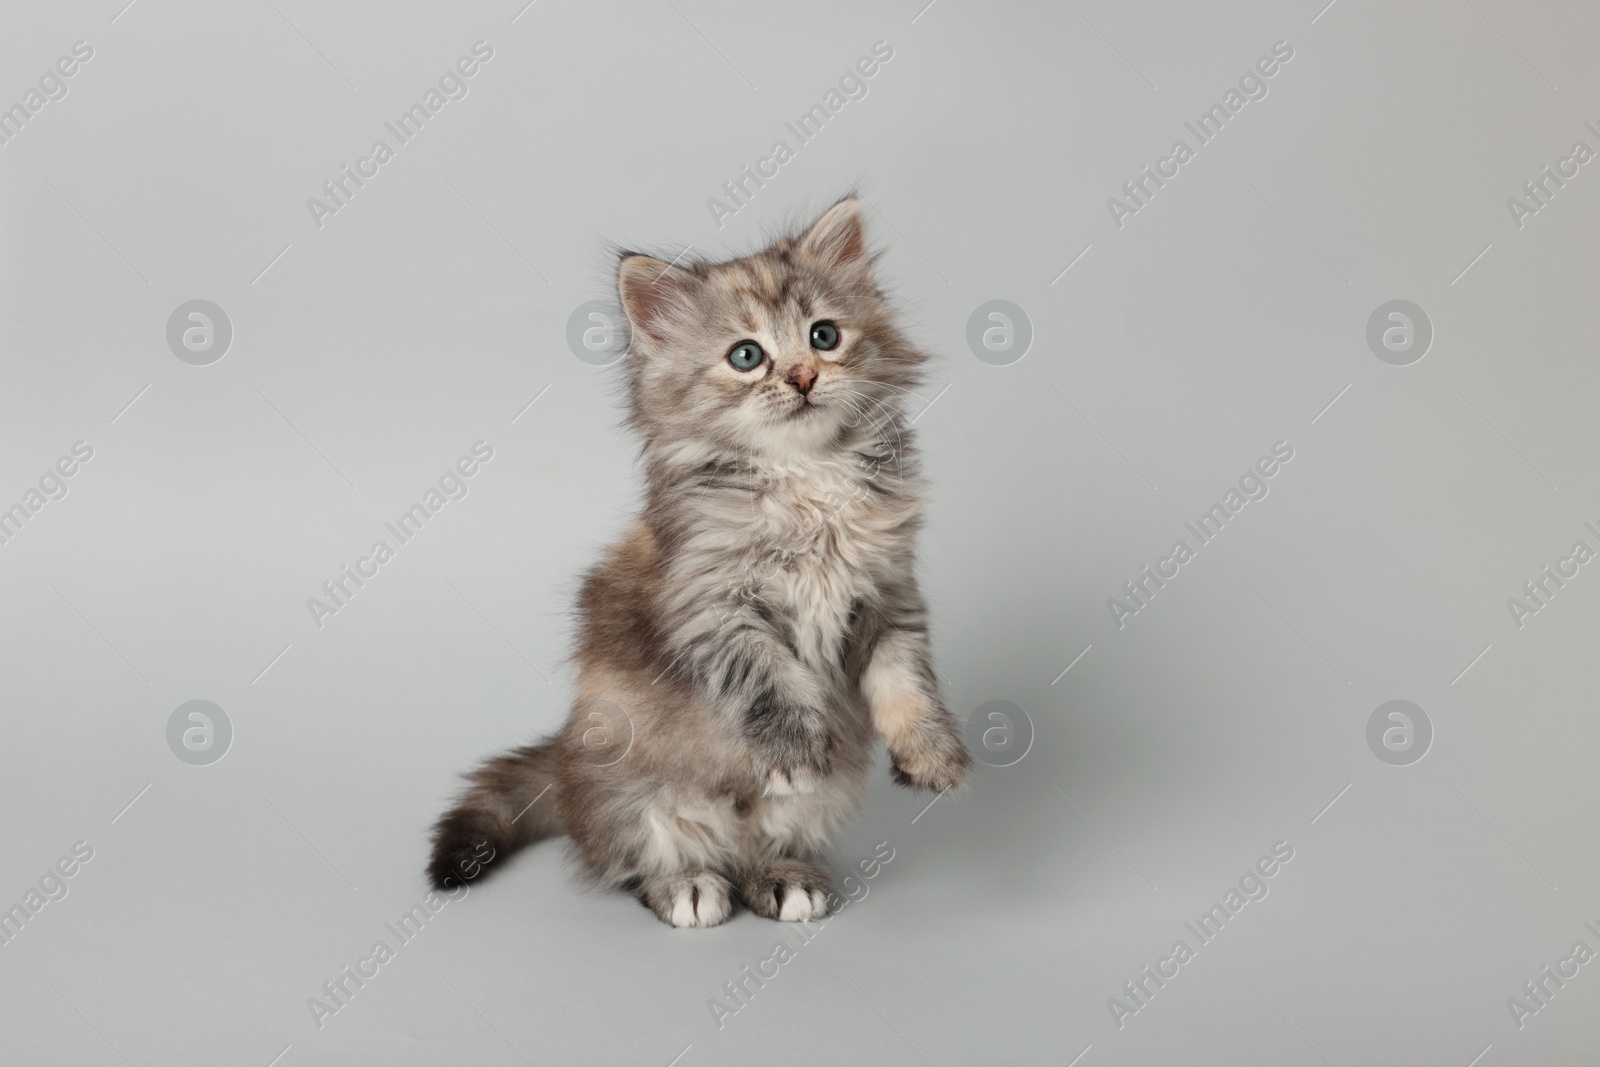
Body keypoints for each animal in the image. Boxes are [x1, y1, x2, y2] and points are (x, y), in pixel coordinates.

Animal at [425, 198, 966, 927]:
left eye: (824, 336)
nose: (803, 377)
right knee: (638, 858)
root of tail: (564, 764)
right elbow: (772, 681)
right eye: (747, 356)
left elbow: (909, 681)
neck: (807, 477)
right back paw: (687, 884)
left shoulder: (887, 592)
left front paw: (932, 755)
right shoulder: (711, 602)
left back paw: (782, 877)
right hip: (628, 793)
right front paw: (799, 750)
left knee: (760, 843)